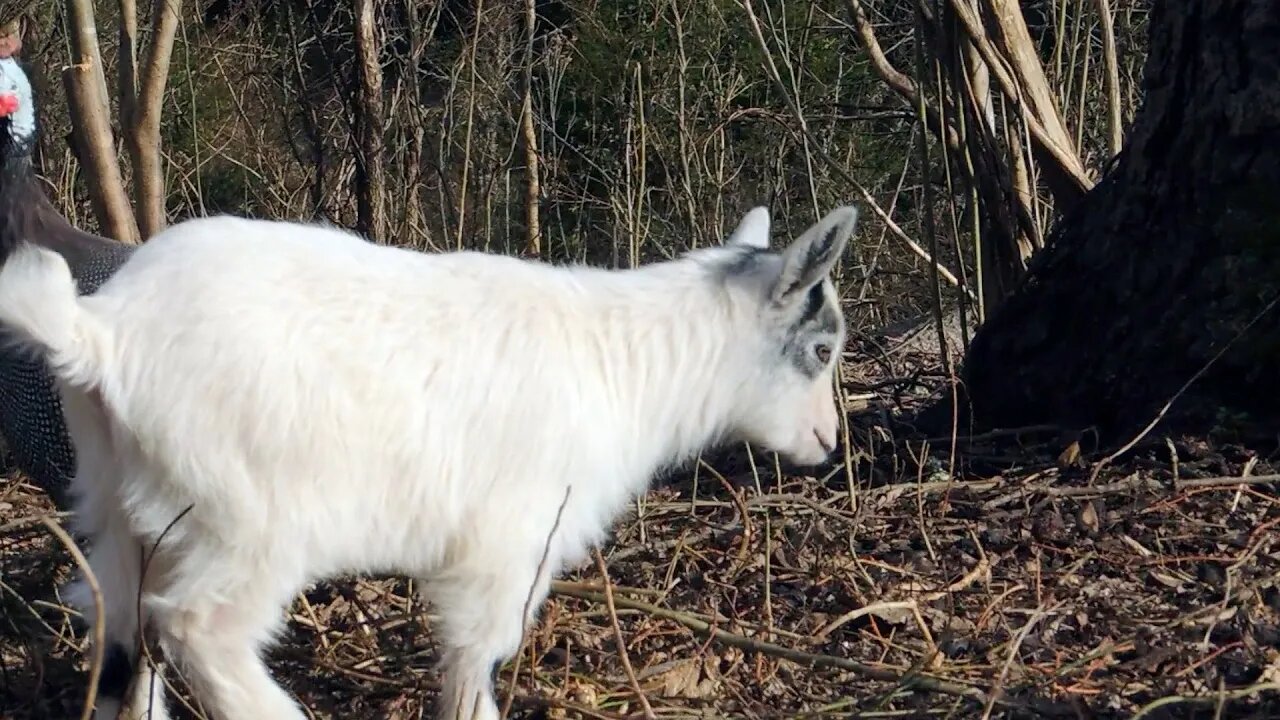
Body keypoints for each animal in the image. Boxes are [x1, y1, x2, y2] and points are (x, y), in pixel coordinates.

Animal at [0, 202, 860, 717]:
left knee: (116, 628)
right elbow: (477, 657)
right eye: (822, 351)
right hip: (247, 518)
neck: (630, 363)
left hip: (119, 506)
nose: (829, 444)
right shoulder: (509, 545)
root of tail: (107, 331)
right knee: (198, 627)